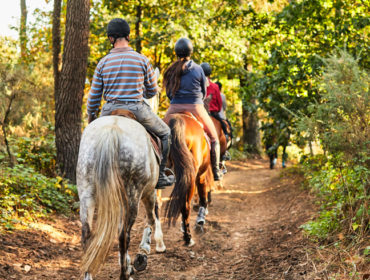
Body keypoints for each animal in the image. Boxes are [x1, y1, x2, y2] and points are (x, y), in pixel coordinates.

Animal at [76, 94, 166, 280]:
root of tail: (111, 131)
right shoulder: (149, 192)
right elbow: (151, 218)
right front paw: (141, 256)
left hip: (86, 192)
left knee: (87, 234)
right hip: (133, 194)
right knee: (124, 234)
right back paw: (125, 274)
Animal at [164, 112, 214, 246]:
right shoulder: (201, 176)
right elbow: (203, 198)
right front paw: (200, 222)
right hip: (191, 176)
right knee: (185, 205)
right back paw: (188, 237)